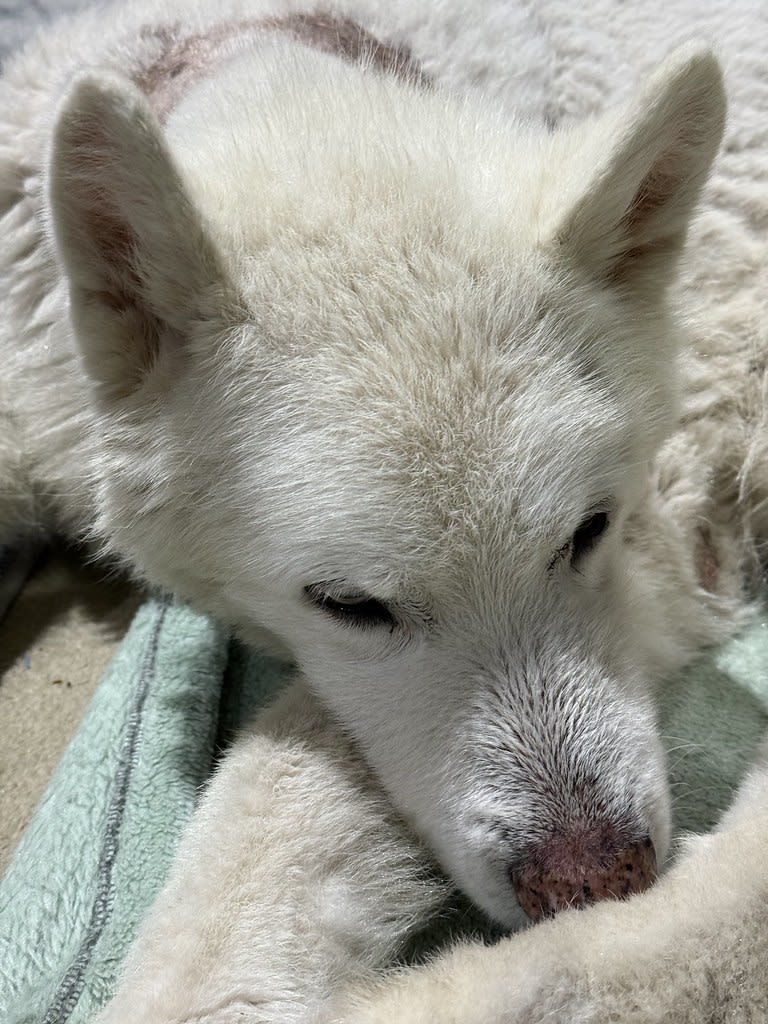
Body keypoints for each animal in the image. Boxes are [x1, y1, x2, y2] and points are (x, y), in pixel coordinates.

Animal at [1, 0, 766, 1020]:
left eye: (589, 531)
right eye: (351, 606)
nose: (597, 881)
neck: (250, 46)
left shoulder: (677, 522)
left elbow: (268, 803)